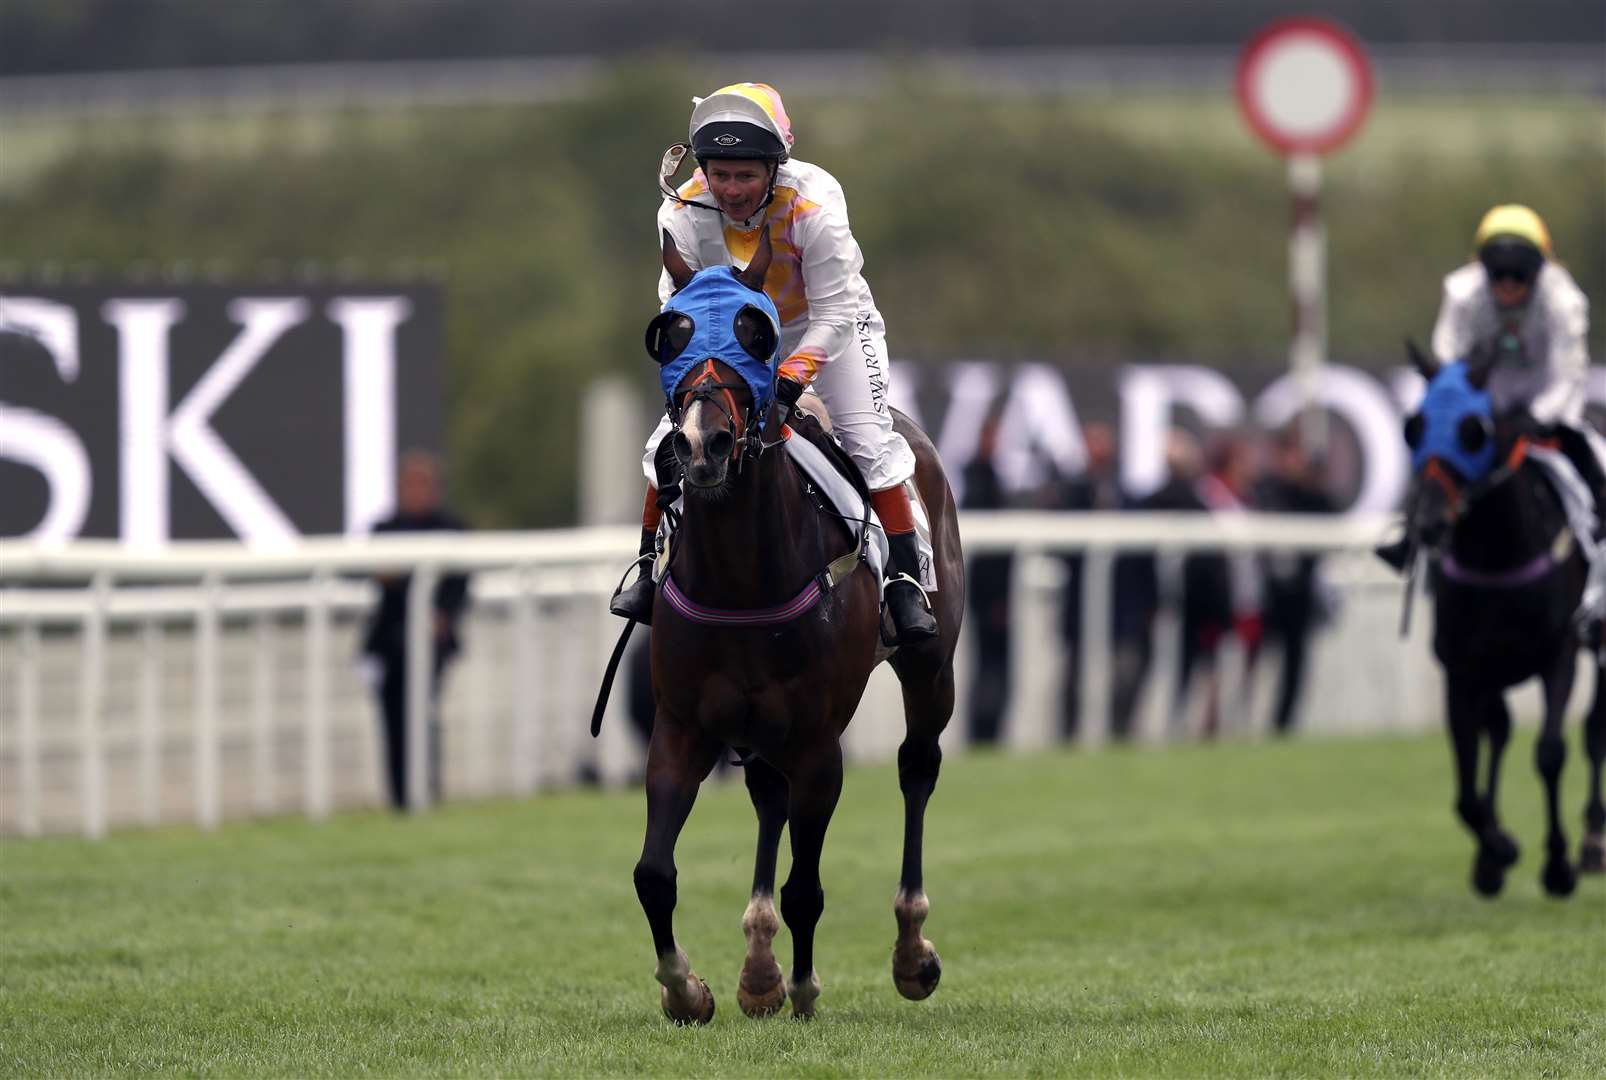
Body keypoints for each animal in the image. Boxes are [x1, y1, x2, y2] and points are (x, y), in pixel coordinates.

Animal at [629, 228, 963, 1022]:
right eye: (670, 334)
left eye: (754, 331)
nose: (703, 445)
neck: (744, 577)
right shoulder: (681, 727)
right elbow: (654, 872)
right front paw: (689, 989)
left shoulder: (818, 742)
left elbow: (806, 885)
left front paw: (807, 987)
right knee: (767, 795)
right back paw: (758, 969)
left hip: (930, 669)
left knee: (917, 766)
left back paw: (911, 951)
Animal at [1400, 343, 1599, 893]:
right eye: (1413, 427)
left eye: (1474, 430)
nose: (1429, 522)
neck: (1498, 555)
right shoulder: (1463, 668)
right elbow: (1467, 790)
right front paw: (1497, 851)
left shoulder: (1560, 653)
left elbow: (1550, 753)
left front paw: (1557, 865)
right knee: (1502, 730)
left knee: (1594, 729)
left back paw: (1593, 842)